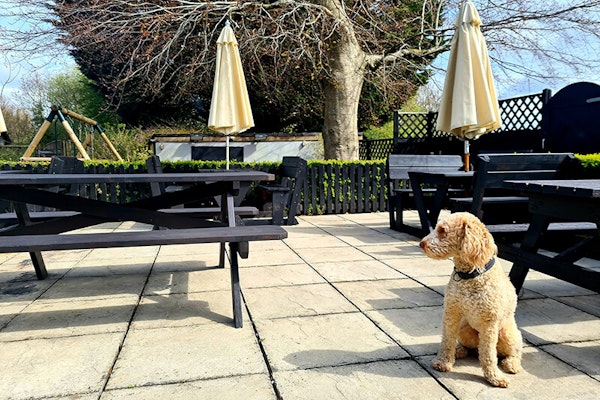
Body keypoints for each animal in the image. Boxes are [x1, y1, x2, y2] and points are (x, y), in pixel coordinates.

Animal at [420, 211, 524, 386]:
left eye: (442, 230)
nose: (421, 243)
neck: (469, 275)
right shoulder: (451, 312)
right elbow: (447, 339)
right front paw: (443, 362)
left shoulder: (489, 323)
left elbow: (488, 354)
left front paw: (494, 377)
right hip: (465, 328)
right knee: (471, 348)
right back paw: (459, 351)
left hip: (507, 333)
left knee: (512, 352)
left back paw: (512, 365)